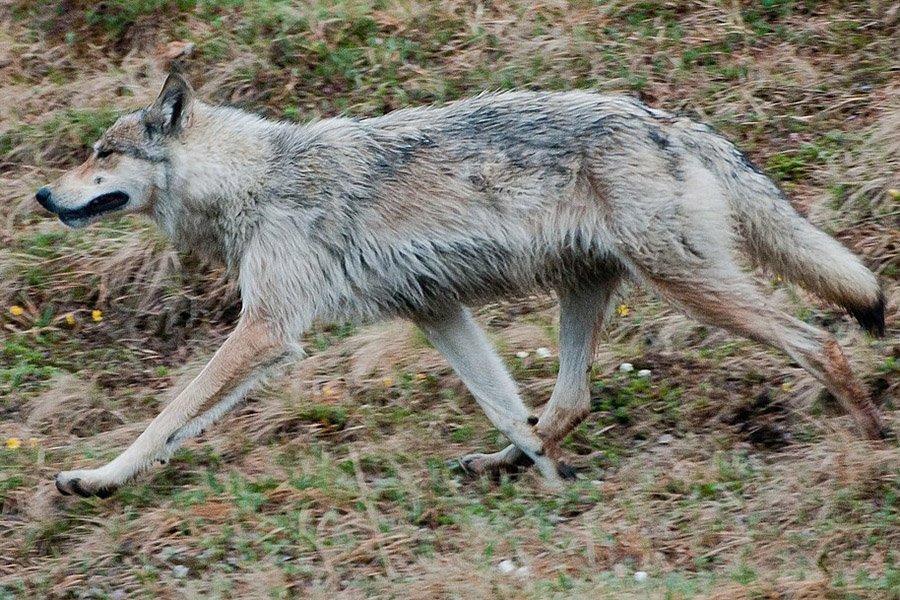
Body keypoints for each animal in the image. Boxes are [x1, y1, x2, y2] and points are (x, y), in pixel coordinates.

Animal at [37, 74, 884, 496]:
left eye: (101, 154)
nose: (44, 195)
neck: (258, 180)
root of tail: (672, 121)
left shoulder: (268, 332)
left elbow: (166, 417)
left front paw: (97, 478)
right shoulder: (436, 312)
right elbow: (507, 406)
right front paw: (550, 483)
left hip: (687, 283)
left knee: (818, 343)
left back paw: (874, 441)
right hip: (589, 292)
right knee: (566, 404)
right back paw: (509, 466)